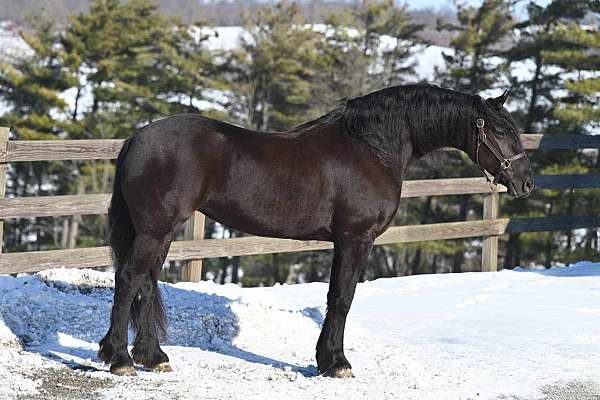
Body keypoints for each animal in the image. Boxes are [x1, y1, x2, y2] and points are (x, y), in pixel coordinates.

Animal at [98, 83, 536, 376]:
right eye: (499, 131)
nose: (526, 183)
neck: (371, 149)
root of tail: (137, 138)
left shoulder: (343, 242)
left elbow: (333, 298)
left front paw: (326, 360)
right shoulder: (356, 239)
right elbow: (342, 299)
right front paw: (337, 363)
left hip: (161, 231)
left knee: (146, 283)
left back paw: (153, 357)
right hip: (156, 229)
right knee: (130, 279)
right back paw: (120, 359)